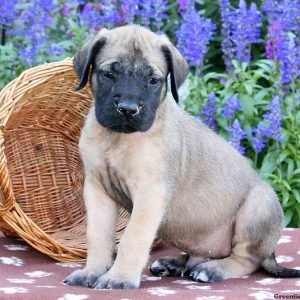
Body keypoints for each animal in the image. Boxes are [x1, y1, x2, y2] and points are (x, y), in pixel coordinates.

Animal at [63, 25, 300, 288]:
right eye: (108, 74)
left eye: (153, 80)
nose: (127, 109)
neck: (117, 137)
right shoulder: (98, 190)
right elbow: (97, 236)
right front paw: (92, 271)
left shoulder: (150, 193)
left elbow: (132, 237)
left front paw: (119, 276)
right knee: (197, 256)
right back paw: (174, 263)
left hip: (260, 204)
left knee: (247, 259)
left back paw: (212, 269)